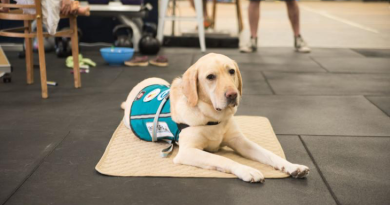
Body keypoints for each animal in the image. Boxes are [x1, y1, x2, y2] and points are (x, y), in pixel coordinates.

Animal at [123, 52, 310, 183]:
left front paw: (293, 166)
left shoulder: (240, 141)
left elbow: (269, 154)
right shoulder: (188, 151)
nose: (233, 95)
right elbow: (222, 158)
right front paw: (247, 170)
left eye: (231, 71)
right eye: (210, 77)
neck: (213, 118)